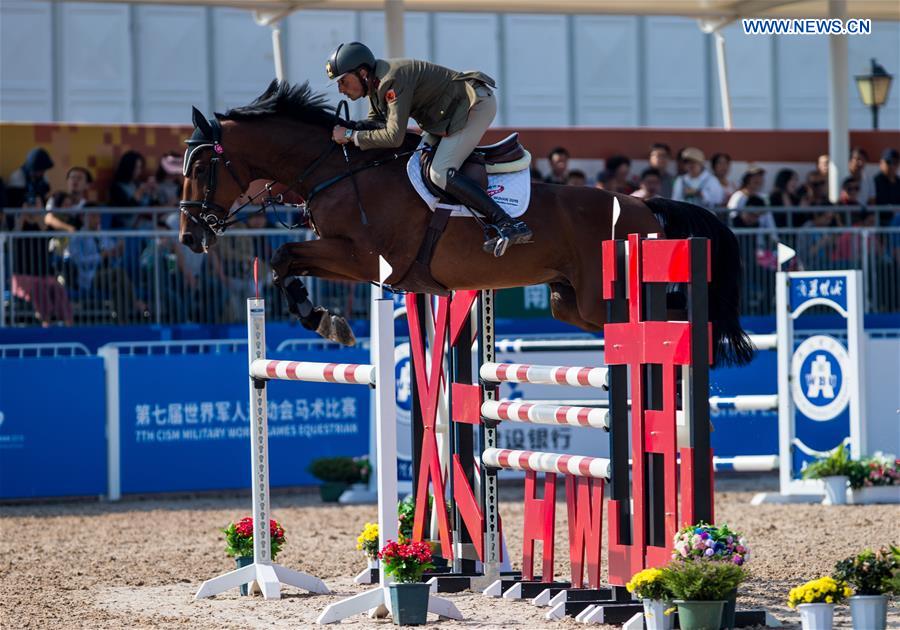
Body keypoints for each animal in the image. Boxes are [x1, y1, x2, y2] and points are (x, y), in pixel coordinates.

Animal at [179, 84, 756, 370]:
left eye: (203, 166)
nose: (190, 237)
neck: (337, 168)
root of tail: (642, 205)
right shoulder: (356, 262)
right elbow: (283, 263)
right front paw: (324, 319)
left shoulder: (365, 259)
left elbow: (284, 256)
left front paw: (325, 321)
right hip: (571, 304)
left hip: (601, 297)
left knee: (684, 316)